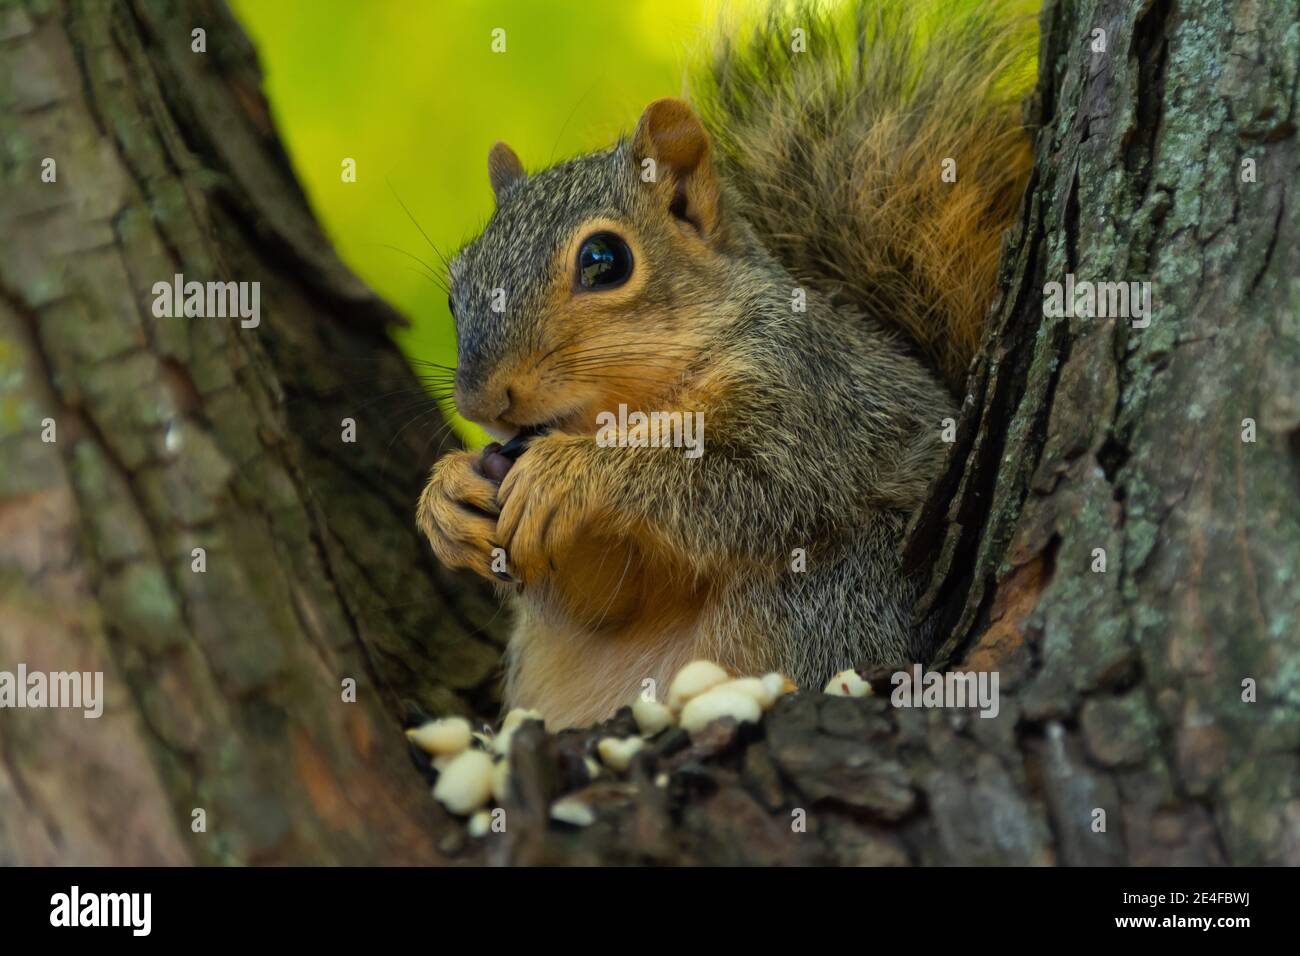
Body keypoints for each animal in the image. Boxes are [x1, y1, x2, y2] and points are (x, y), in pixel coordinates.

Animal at [418, 1, 1033, 727]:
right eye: (454, 287)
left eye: (604, 261)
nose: (481, 401)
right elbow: (604, 596)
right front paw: (446, 496)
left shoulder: (815, 404)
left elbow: (751, 488)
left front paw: (573, 474)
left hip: (838, 594)